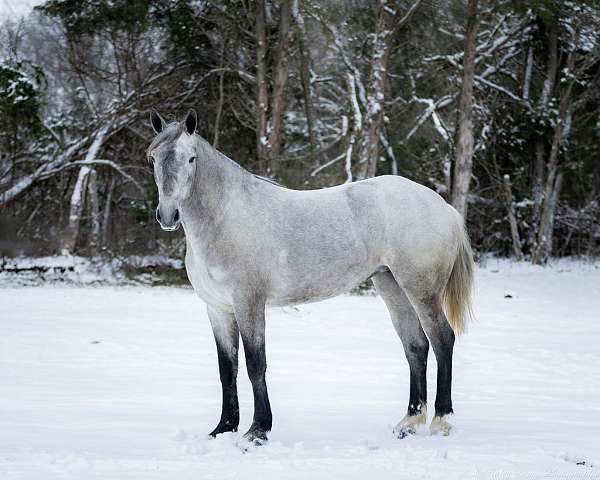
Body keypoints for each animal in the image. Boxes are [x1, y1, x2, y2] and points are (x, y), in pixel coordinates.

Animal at [146, 110, 474, 444]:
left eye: (191, 158)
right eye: (154, 159)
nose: (168, 215)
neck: (226, 217)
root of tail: (444, 207)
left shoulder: (249, 304)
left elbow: (255, 365)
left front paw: (258, 430)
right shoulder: (218, 309)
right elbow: (228, 368)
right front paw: (223, 428)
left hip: (421, 289)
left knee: (442, 340)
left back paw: (441, 420)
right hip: (392, 286)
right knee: (416, 346)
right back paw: (409, 421)